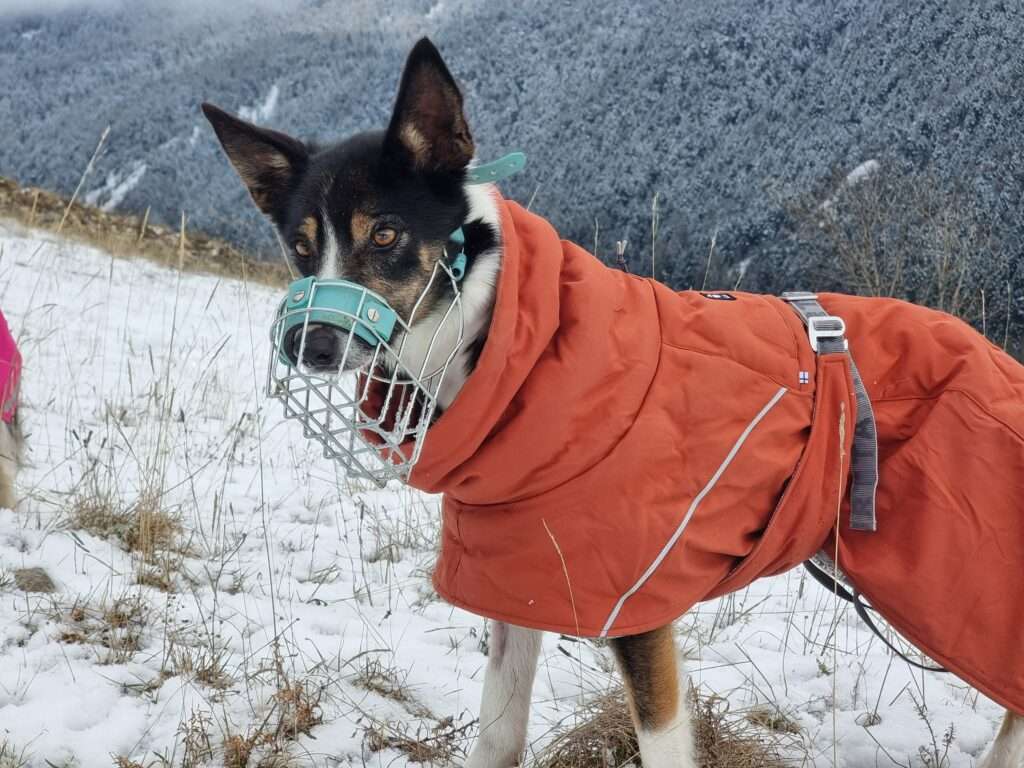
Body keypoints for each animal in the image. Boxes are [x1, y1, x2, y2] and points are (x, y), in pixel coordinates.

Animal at [201, 39, 1024, 768]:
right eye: (301, 247)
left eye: (385, 233)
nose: (308, 342)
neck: (506, 351)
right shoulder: (522, 588)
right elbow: (497, 737)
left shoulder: (640, 607)